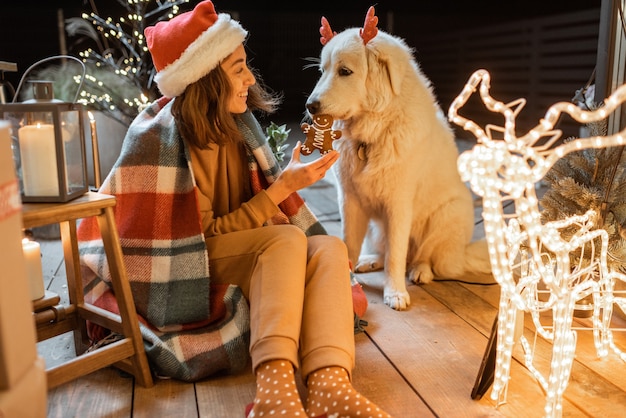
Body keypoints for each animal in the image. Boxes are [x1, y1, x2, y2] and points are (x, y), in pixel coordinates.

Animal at [304, 4, 492, 308]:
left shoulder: (399, 204)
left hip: (449, 213)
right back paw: (368, 261)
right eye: (323, 71)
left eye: (345, 71)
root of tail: (462, 253)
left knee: (422, 256)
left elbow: (396, 253)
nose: (310, 106)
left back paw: (420, 271)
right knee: (384, 252)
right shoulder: (350, 200)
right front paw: (347, 278)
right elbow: (349, 242)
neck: (373, 130)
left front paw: (395, 293)